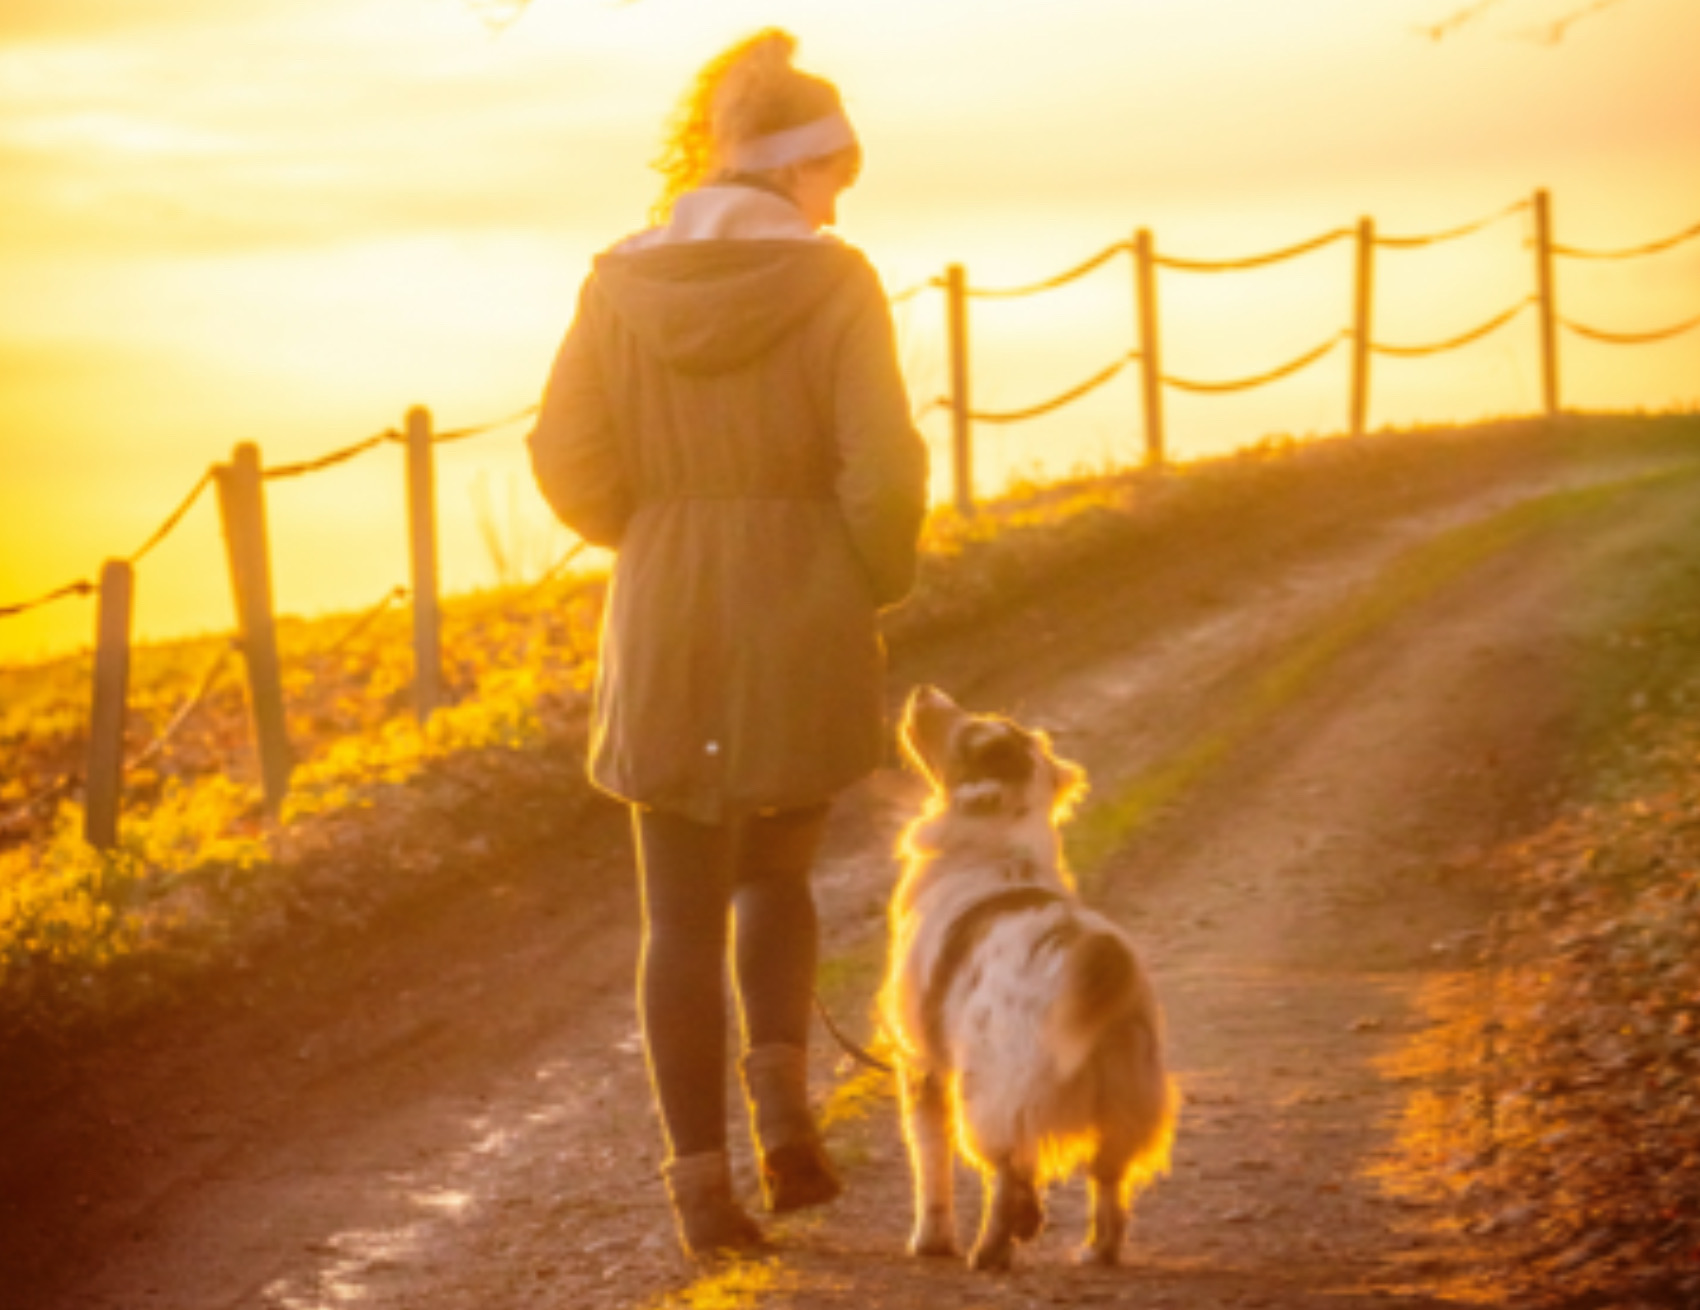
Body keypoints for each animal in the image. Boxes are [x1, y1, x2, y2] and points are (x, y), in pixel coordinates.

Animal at [884, 686, 1176, 1270]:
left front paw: (931, 1240)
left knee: (1005, 1169)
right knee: (1107, 1180)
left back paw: (991, 1248)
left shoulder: (920, 1062)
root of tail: (1095, 949)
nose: (924, 692)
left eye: (970, 735)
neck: (998, 848)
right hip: (1126, 1099)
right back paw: (1094, 1251)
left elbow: (930, 1158)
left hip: (990, 1090)